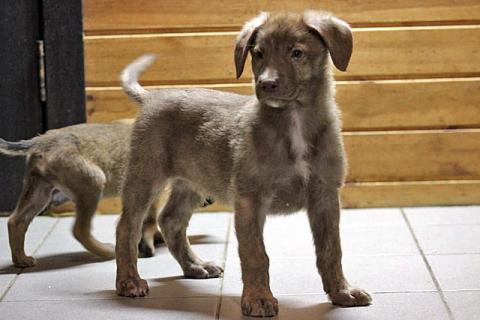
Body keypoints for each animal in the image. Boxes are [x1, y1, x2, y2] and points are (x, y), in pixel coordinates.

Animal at [115, 10, 372, 318]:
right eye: (258, 54)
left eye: (297, 53)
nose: (266, 84)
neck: (293, 122)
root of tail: (152, 97)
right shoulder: (251, 199)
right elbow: (255, 254)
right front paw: (258, 299)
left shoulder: (326, 195)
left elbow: (331, 250)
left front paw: (341, 291)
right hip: (145, 175)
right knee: (127, 227)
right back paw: (129, 281)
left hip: (192, 180)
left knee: (171, 220)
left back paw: (195, 266)